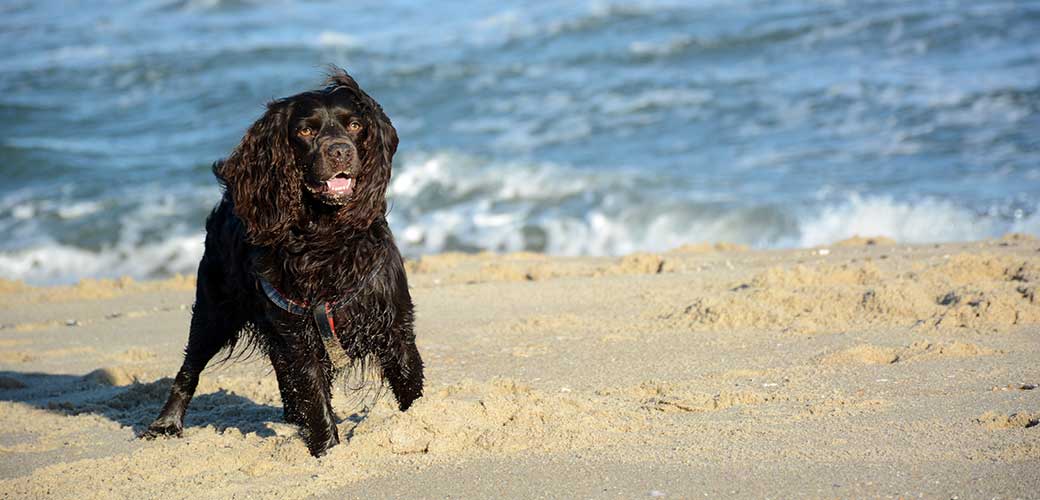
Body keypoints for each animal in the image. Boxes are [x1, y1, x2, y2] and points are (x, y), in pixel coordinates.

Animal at [141, 67, 422, 455]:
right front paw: (328, 451)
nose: (340, 151)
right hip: (214, 310)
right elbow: (314, 397)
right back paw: (166, 423)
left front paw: (422, 423)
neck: (326, 238)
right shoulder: (299, 335)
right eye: (305, 131)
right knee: (189, 367)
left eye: (354, 125)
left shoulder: (392, 322)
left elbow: (408, 383)